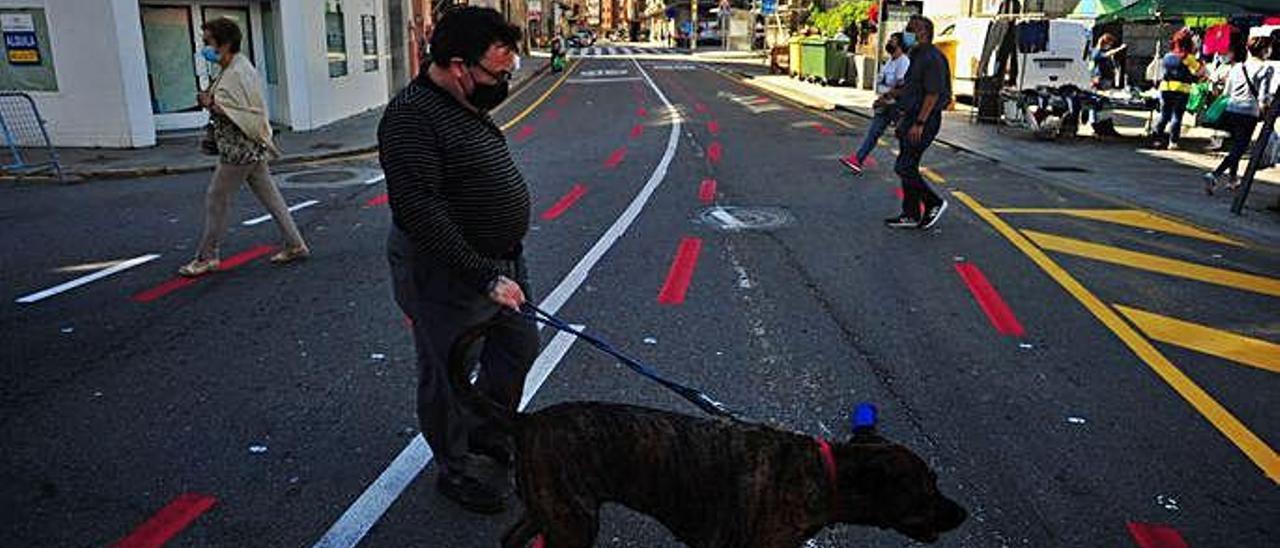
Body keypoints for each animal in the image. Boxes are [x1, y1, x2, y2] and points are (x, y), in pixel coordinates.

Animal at [448, 318, 962, 545]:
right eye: (926, 488)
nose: (961, 513)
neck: (829, 472)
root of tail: (528, 419)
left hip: (553, 509)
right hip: (573, 521)